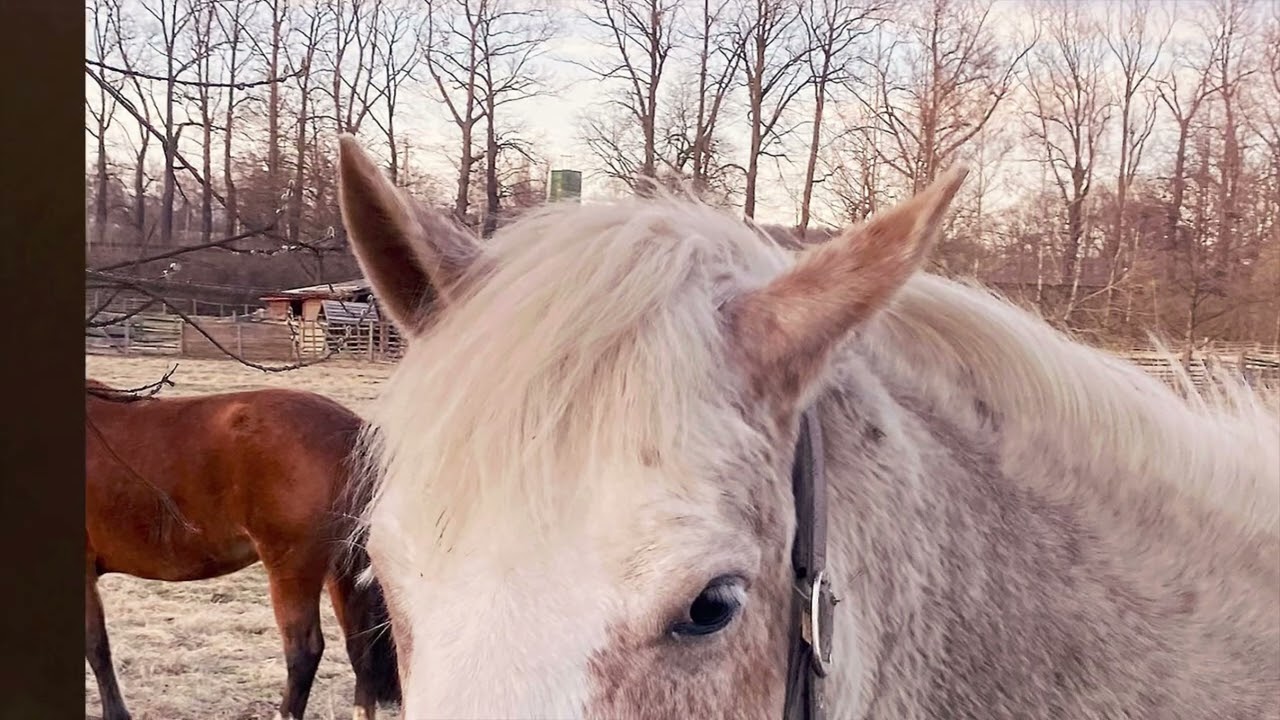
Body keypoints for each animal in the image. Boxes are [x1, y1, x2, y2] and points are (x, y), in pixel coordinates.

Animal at [85, 379, 400, 720]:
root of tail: (354, 432)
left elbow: (96, 647)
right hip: (342, 571)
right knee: (361, 652)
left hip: (293, 570)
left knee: (303, 652)